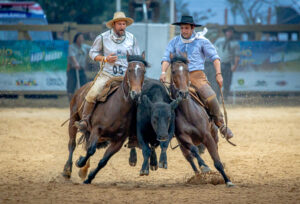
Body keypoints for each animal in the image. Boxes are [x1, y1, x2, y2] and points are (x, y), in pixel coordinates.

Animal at [62, 52, 149, 183]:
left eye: (143, 71)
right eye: (129, 70)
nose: (136, 93)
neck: (118, 107)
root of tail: (82, 89)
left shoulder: (118, 141)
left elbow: (103, 161)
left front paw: (89, 177)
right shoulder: (96, 130)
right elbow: (91, 150)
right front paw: (80, 162)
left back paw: (83, 171)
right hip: (74, 119)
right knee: (72, 144)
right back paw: (67, 170)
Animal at [170, 55, 233, 187]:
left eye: (187, 70)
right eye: (173, 71)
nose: (183, 93)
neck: (188, 113)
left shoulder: (207, 136)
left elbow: (217, 160)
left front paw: (227, 181)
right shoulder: (183, 138)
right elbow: (194, 150)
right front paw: (204, 167)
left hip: (214, 133)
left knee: (216, 148)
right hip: (182, 145)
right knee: (189, 157)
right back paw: (198, 174)